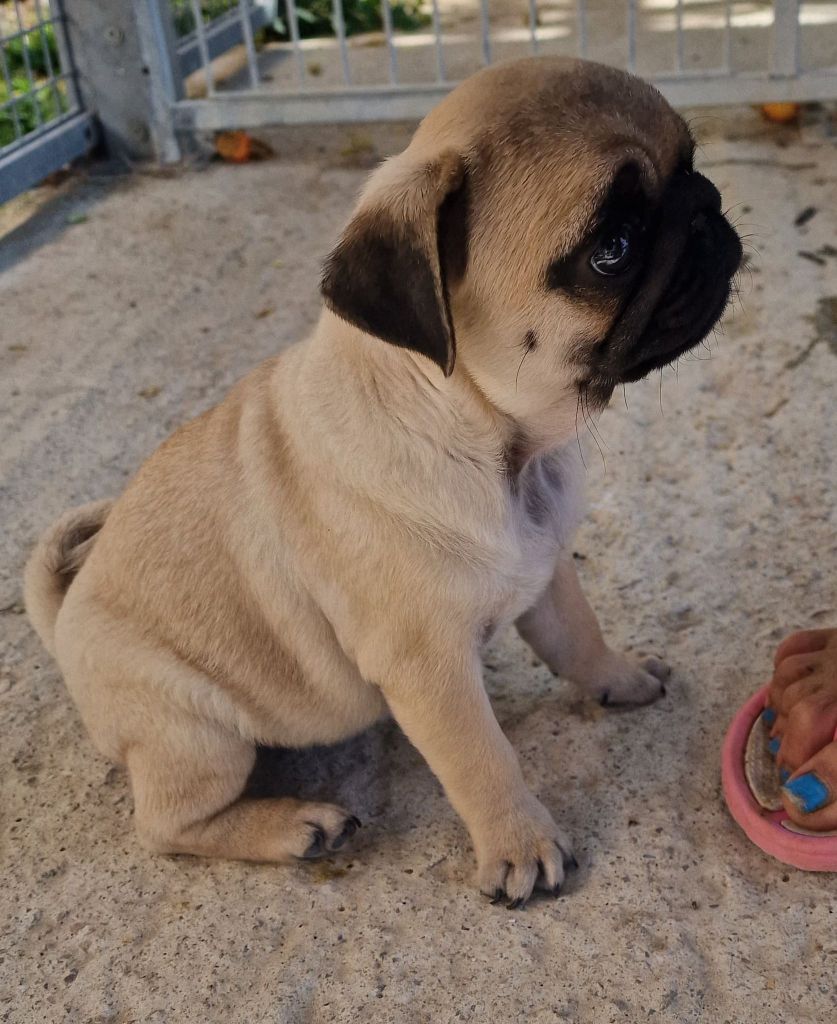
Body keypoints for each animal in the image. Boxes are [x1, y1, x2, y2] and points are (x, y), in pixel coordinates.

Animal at [24, 56, 737, 905]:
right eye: (613, 247)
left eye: (689, 162)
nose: (707, 205)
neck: (499, 447)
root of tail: (64, 619)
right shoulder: (426, 668)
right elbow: (482, 759)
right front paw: (519, 845)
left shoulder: (546, 571)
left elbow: (578, 637)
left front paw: (617, 677)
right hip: (193, 731)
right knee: (167, 825)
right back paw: (294, 825)